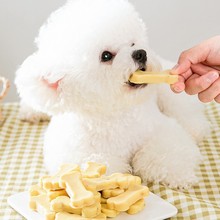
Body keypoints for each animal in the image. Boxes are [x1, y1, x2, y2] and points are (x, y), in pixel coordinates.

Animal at [14, 0, 211, 188]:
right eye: (106, 56)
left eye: (132, 43)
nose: (140, 53)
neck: (116, 116)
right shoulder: (80, 153)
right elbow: (100, 166)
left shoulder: (159, 130)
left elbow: (167, 152)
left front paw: (181, 176)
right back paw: (30, 112)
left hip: (166, 94)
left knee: (184, 112)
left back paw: (194, 127)